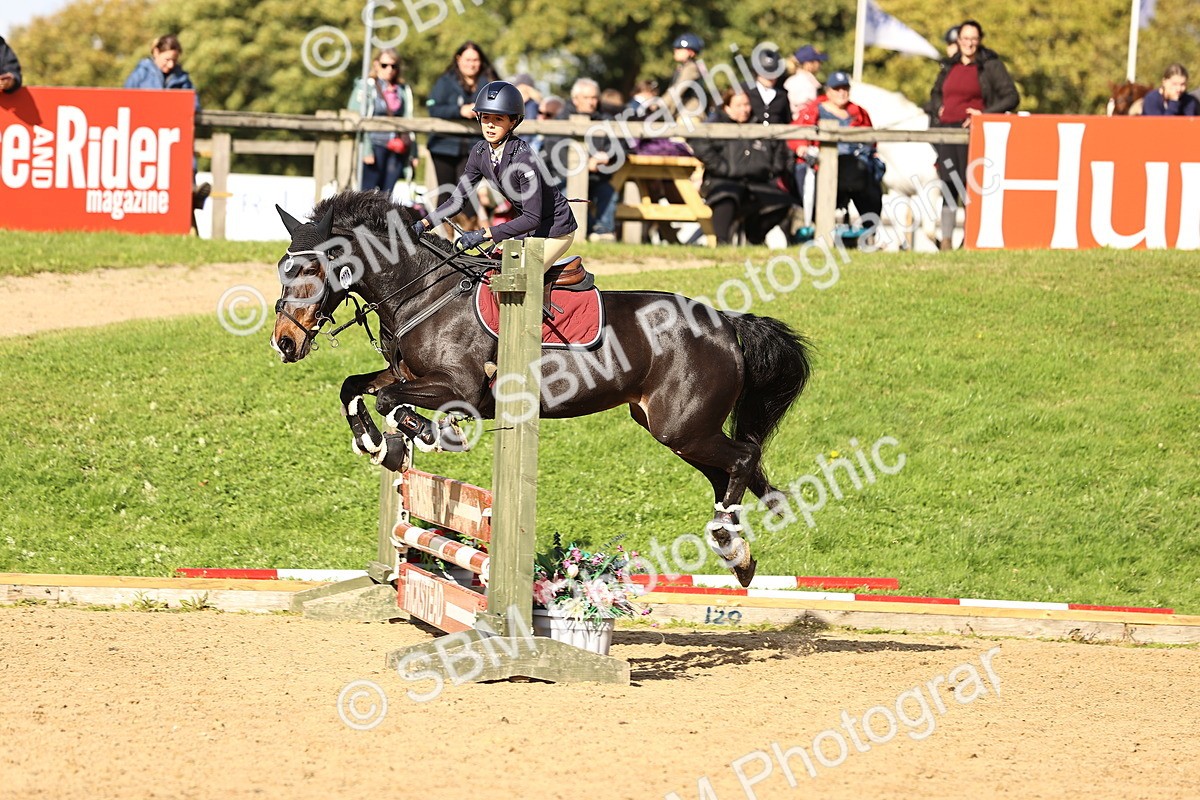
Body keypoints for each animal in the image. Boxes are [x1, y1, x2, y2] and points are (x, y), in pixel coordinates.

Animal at [270, 191, 812, 586]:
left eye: (313, 268)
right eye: (284, 267)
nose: (284, 342)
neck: (423, 291)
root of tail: (726, 321)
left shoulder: (459, 387)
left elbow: (390, 401)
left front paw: (419, 436)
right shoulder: (405, 375)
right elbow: (355, 388)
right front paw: (378, 444)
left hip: (682, 427)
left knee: (742, 458)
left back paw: (728, 539)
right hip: (673, 428)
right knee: (732, 472)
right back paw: (737, 553)